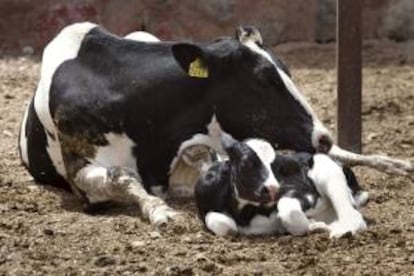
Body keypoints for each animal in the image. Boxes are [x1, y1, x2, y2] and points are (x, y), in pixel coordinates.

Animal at [194, 133, 368, 238]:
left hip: (327, 169)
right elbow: (220, 222)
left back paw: (343, 230)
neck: (247, 213)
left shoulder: (305, 193)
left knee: (352, 214)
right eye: (246, 163)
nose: (273, 189)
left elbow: (290, 211)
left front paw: (311, 225)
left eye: (277, 166)